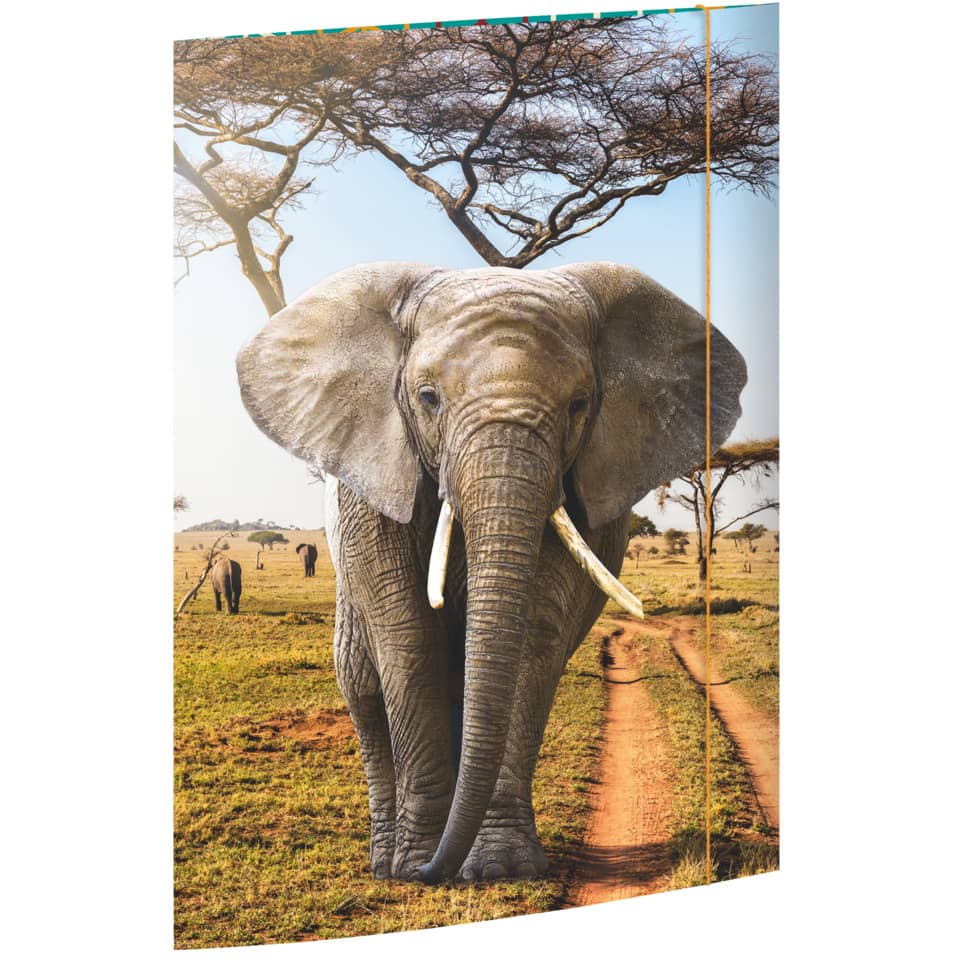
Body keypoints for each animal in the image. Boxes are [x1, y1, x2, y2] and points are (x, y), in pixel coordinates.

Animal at [236, 261, 746, 883]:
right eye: (428, 397)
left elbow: (531, 638)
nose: (431, 870)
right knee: (362, 683)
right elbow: (407, 639)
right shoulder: (372, 484)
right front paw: (417, 865)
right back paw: (386, 861)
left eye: (579, 404)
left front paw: (501, 868)